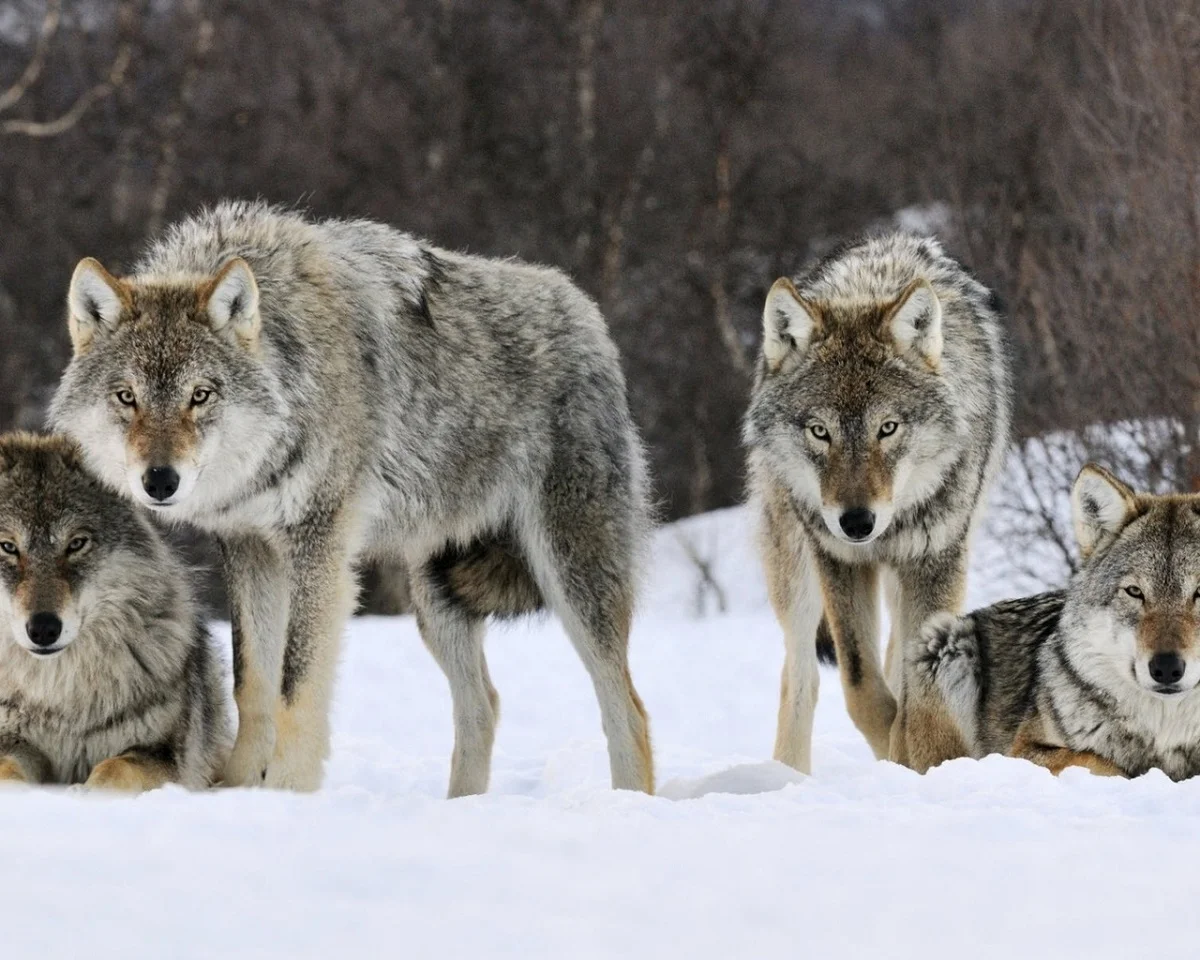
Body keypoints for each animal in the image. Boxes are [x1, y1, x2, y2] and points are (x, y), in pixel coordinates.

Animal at [0, 432, 230, 787]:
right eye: (8, 547)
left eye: (76, 544)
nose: (43, 629)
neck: (60, 691)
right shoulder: (13, 743)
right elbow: (8, 770)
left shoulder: (161, 754)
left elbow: (114, 769)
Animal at [49, 200, 657, 796]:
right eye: (126, 397)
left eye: (200, 395)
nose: (160, 481)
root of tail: (586, 313)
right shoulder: (249, 548)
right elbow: (252, 683)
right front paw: (239, 789)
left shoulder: (319, 547)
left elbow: (295, 686)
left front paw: (287, 793)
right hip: (436, 598)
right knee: (483, 705)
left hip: (571, 578)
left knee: (628, 708)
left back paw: (627, 802)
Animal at [739, 236, 1012, 768]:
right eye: (819, 431)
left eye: (887, 428)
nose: (857, 522)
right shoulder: (839, 560)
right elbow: (861, 685)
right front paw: (894, 751)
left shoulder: (936, 560)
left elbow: (913, 684)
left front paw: (914, 753)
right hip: (795, 569)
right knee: (800, 676)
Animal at [902, 465, 1200, 777]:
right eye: (1135, 592)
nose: (1166, 668)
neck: (1165, 733)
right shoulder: (1023, 751)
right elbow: (1102, 762)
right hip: (945, 640)